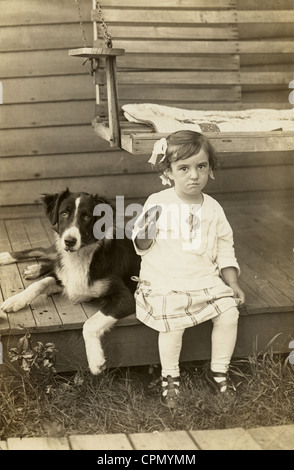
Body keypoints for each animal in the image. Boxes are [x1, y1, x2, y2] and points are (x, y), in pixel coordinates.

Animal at [0, 188, 140, 374]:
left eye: (87, 217)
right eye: (64, 213)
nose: (69, 241)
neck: (81, 257)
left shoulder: (126, 297)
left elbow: (90, 323)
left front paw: (95, 360)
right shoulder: (63, 277)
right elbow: (38, 284)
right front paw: (15, 300)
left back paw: (35, 268)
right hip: (56, 246)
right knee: (44, 251)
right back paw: (8, 258)